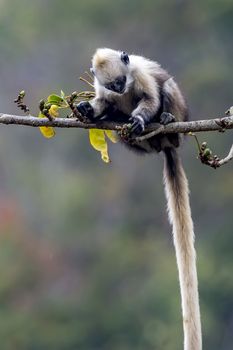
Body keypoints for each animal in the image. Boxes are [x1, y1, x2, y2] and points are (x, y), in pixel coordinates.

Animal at [77, 48, 202, 350]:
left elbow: (150, 97)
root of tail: (165, 145)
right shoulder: (103, 89)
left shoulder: (140, 74)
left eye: (122, 80)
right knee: (116, 119)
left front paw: (141, 119)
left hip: (178, 119)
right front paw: (88, 110)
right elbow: (102, 102)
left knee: (167, 88)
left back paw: (166, 121)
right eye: (113, 85)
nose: (121, 89)